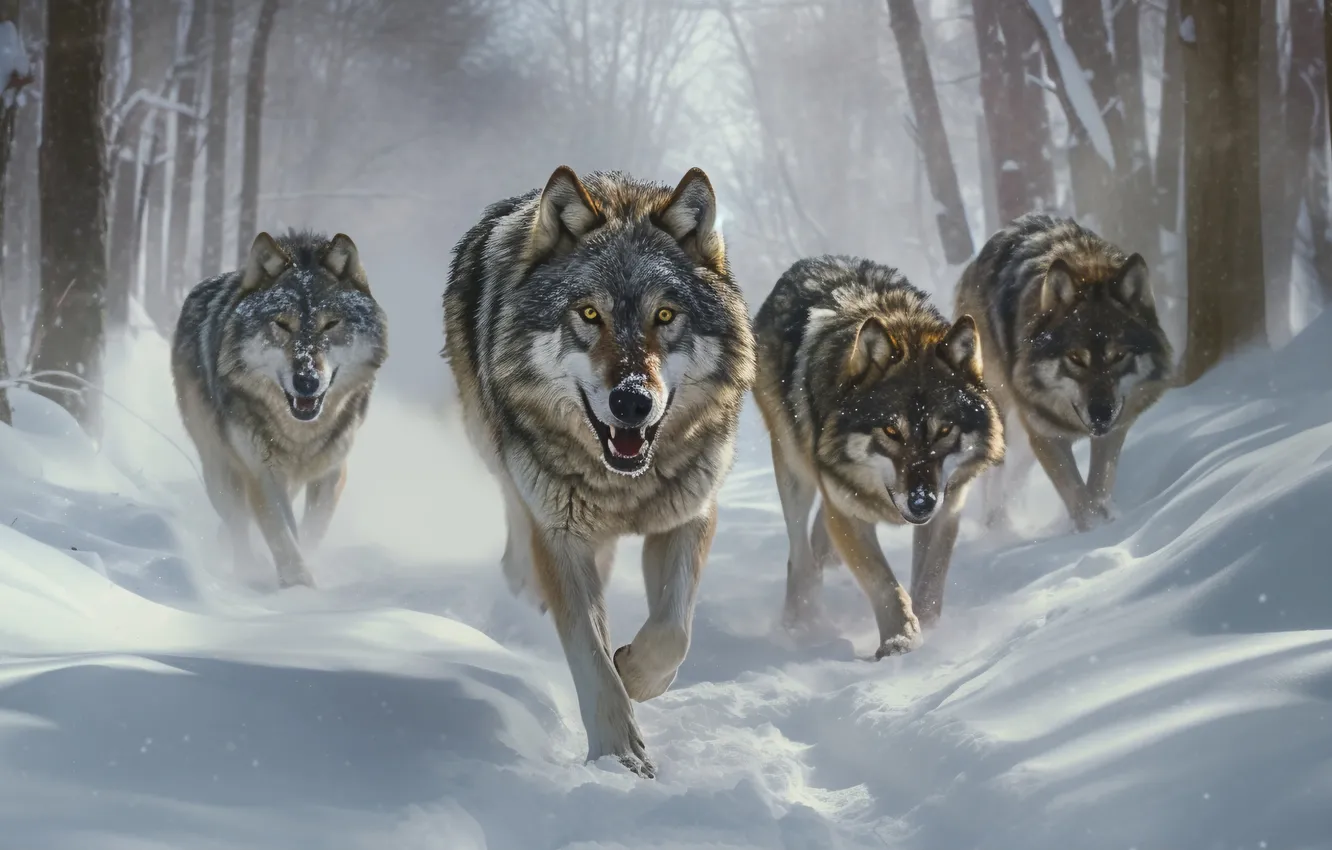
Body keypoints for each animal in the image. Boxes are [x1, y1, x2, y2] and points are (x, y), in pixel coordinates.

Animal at [172, 230, 389, 589]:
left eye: (330, 324)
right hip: (220, 470)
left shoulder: (332, 469)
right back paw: (245, 568)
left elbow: (313, 528)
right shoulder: (262, 472)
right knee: (237, 525)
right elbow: (281, 534)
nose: (306, 381)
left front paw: (304, 572)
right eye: (282, 325)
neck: (301, 433)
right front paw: (298, 584)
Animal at [442, 165, 754, 778]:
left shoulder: (689, 515)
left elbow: (673, 633)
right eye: (590, 314)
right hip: (496, 450)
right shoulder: (560, 537)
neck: (623, 485)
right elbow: (590, 659)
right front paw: (620, 758)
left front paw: (634, 672)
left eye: (665, 315)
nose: (631, 401)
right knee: (517, 521)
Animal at [753, 256, 1004, 656]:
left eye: (944, 431)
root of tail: (809, 262)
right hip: (794, 472)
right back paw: (801, 621)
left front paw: (928, 630)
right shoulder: (848, 516)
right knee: (800, 553)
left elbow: (930, 580)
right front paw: (900, 643)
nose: (921, 502)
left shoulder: (948, 506)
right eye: (891, 432)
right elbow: (885, 585)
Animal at [954, 214, 1172, 533]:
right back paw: (997, 527)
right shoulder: (1047, 436)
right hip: (1001, 414)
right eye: (1076, 358)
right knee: (995, 474)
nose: (1100, 413)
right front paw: (1092, 531)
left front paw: (1107, 519)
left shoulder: (1113, 429)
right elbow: (1076, 494)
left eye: (1119, 356)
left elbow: (1100, 484)